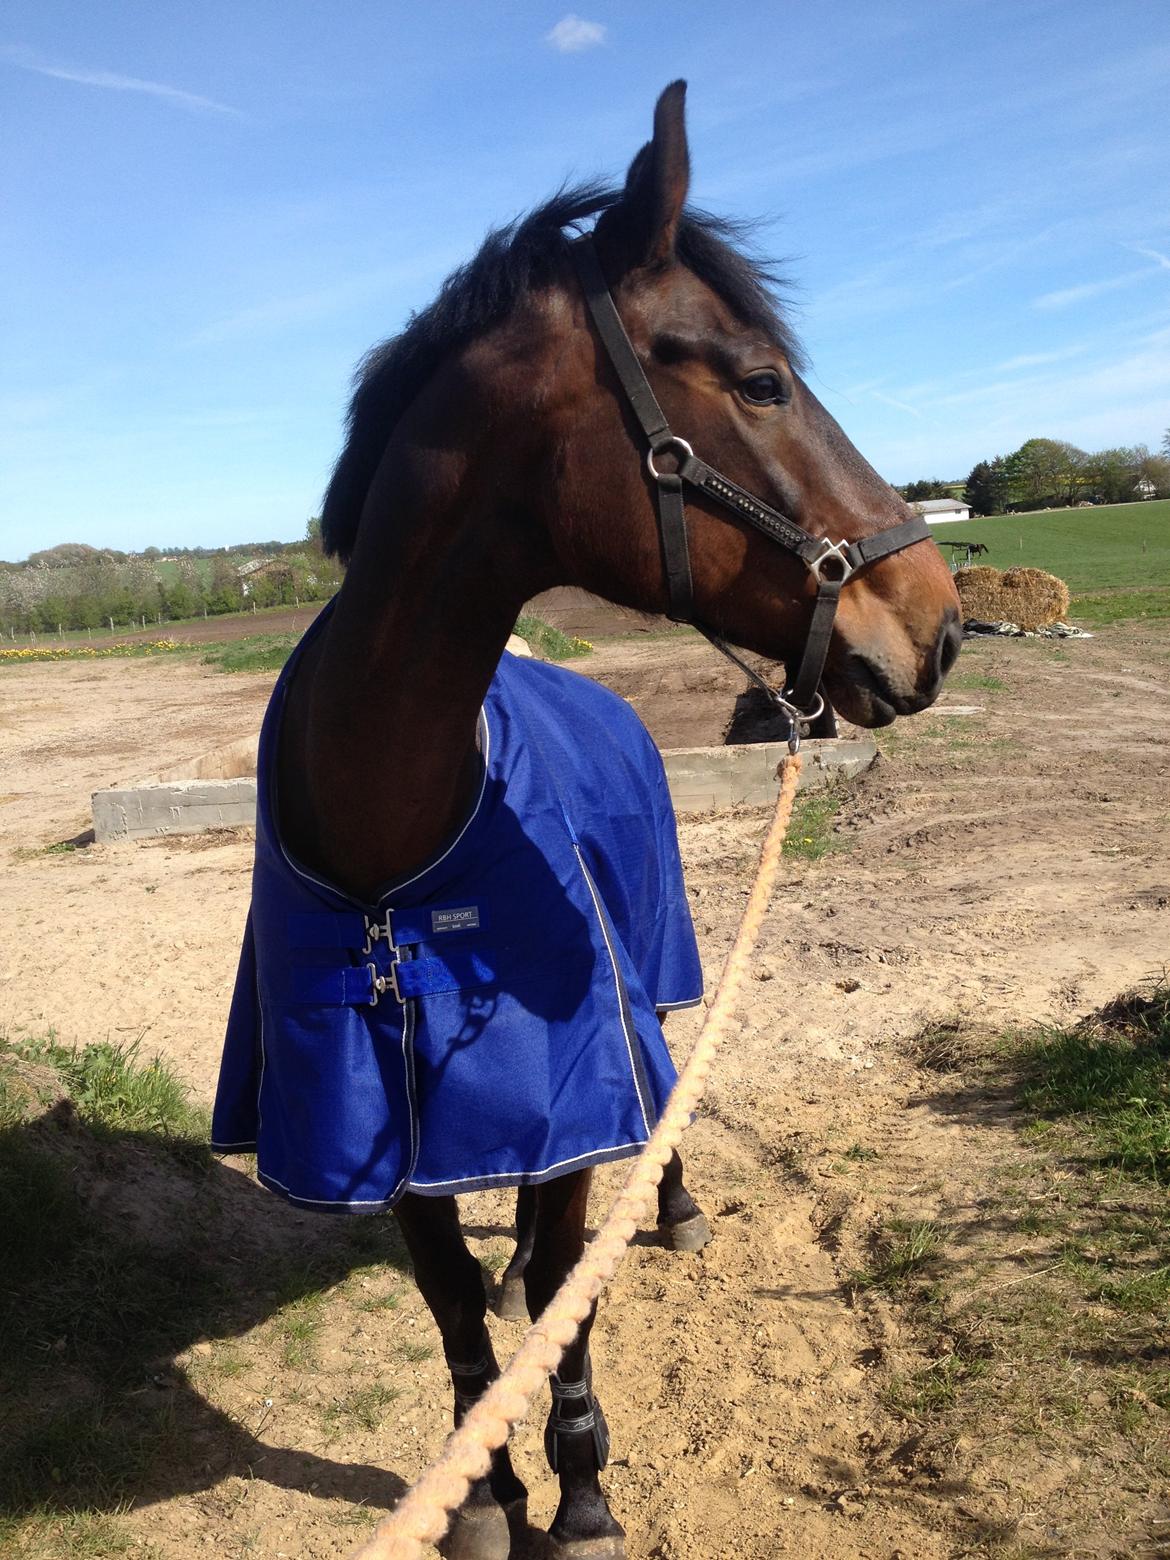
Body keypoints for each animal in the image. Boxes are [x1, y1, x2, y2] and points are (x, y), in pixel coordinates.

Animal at [210, 82, 960, 1560]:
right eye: (762, 381)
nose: (939, 624)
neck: (395, 841)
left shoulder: (574, 1071)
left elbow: (573, 1281)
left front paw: (586, 1492)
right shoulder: (394, 1132)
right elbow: (458, 1315)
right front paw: (486, 1497)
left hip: (651, 975)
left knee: (659, 1105)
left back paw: (674, 1211)